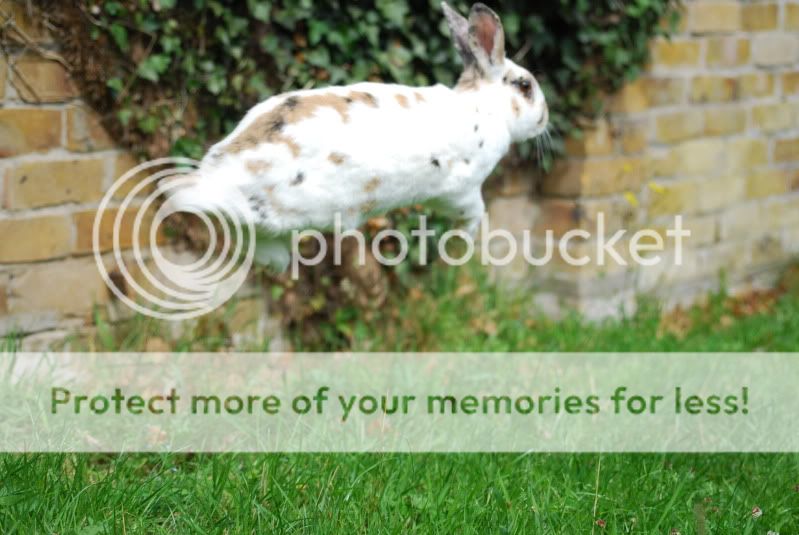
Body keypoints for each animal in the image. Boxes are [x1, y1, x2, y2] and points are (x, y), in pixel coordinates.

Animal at [169, 2, 552, 272]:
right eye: (525, 86)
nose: (545, 118)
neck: (485, 107)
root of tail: (215, 176)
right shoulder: (462, 191)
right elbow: (475, 211)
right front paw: (465, 238)